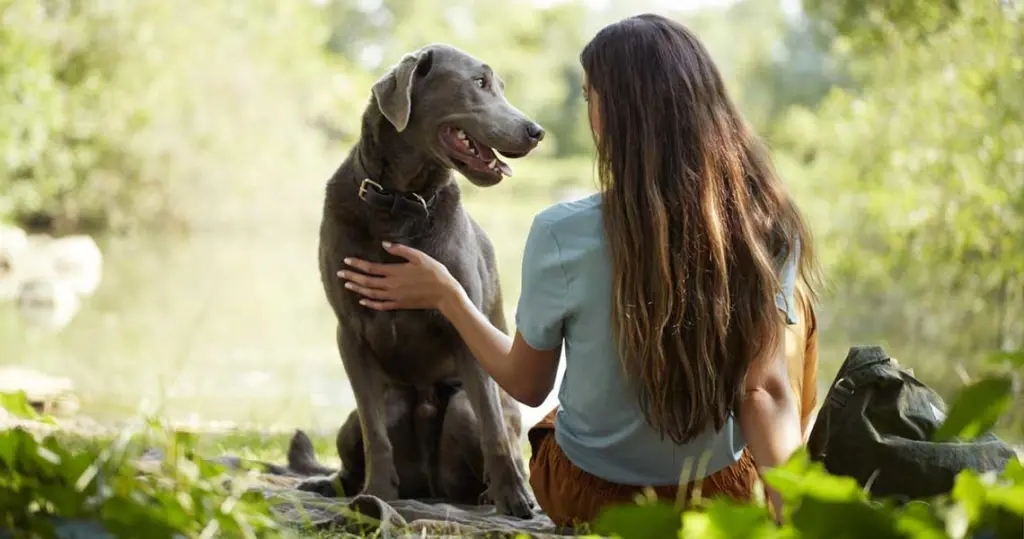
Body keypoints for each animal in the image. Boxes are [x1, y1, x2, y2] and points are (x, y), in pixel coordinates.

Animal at [301, 43, 544, 520]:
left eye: (500, 85)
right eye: (479, 82)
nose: (535, 131)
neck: (401, 201)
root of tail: (431, 488)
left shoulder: (464, 327)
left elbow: (492, 426)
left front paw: (514, 499)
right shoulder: (349, 332)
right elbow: (376, 433)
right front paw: (376, 495)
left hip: (460, 406)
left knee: (484, 424)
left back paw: (492, 495)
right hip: (363, 413)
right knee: (360, 438)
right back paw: (331, 485)